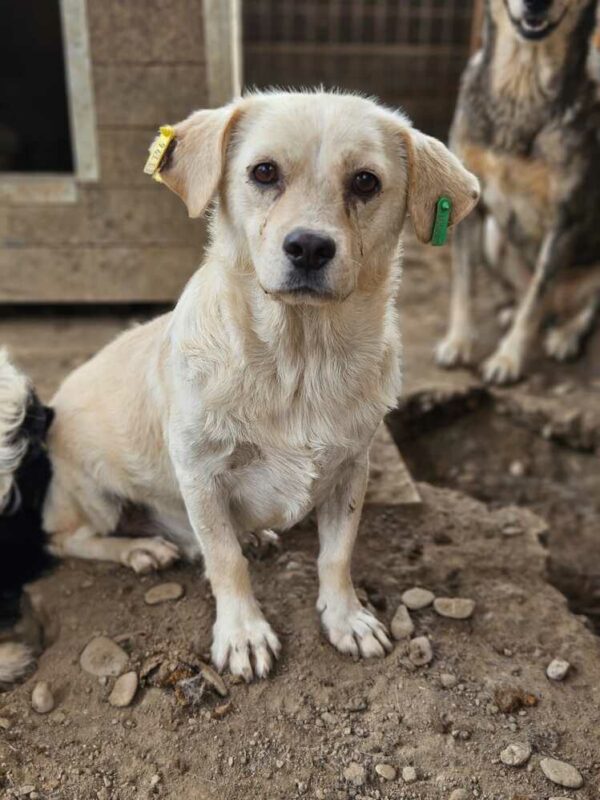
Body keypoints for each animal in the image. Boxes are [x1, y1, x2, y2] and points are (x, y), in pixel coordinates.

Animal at [0, 92, 478, 680]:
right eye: (263, 172)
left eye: (366, 182)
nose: (309, 247)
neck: (299, 361)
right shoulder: (200, 473)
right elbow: (225, 561)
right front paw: (243, 634)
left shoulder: (352, 470)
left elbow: (336, 556)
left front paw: (346, 618)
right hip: (93, 494)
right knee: (69, 538)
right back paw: (141, 550)